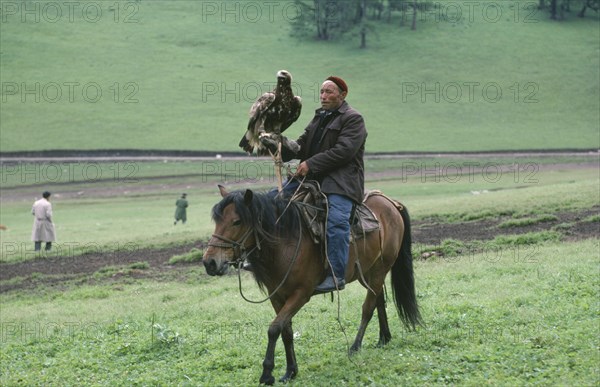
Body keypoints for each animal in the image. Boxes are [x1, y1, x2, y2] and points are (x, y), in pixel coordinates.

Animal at [203, 185, 422, 384]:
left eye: (237, 221)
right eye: (217, 221)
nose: (209, 262)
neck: (285, 242)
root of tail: (391, 203)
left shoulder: (301, 294)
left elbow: (274, 328)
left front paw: (267, 374)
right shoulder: (277, 295)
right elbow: (285, 330)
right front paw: (290, 371)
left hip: (380, 269)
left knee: (368, 307)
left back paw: (355, 346)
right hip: (368, 272)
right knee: (379, 299)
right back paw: (384, 338)